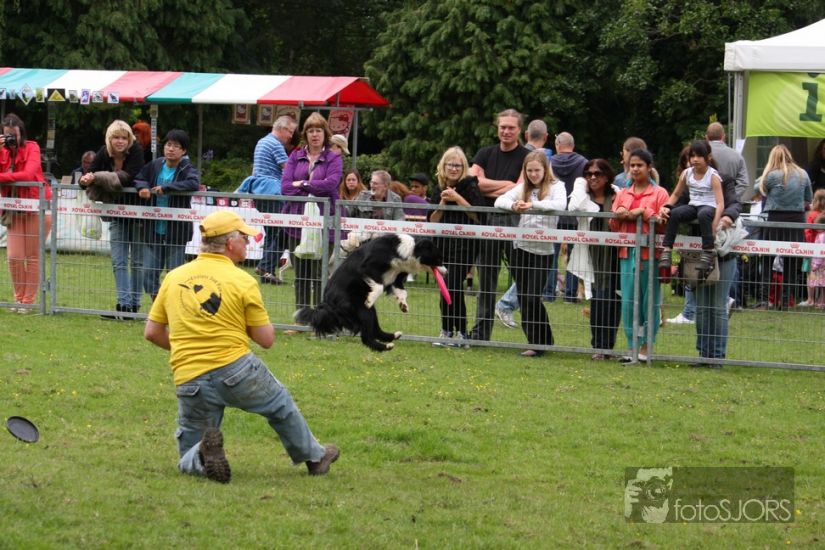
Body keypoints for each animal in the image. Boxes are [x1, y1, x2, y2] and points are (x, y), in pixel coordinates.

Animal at [295, 234, 445, 351]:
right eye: (438, 259)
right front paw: (371, 298)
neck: (403, 250)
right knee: (366, 336)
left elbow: (401, 291)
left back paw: (393, 336)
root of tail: (327, 305)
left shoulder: (396, 276)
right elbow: (378, 285)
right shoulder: (368, 266)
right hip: (358, 308)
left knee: (375, 328)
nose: (446, 272)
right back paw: (385, 346)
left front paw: (403, 305)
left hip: (368, 312)